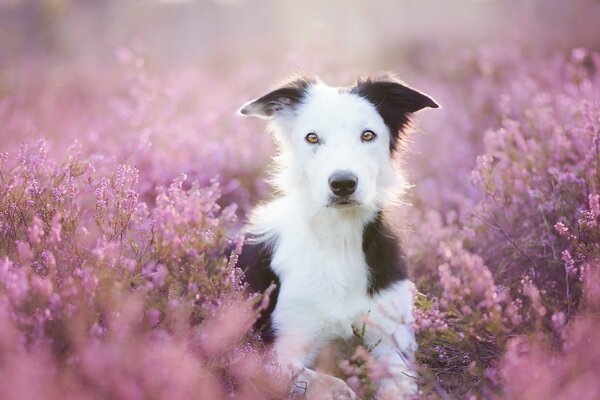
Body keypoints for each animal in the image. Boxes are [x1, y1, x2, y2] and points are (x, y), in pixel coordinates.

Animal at [237, 73, 438, 398]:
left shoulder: (394, 345)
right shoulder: (274, 353)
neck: (339, 239)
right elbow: (326, 382)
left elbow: (395, 385)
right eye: (312, 137)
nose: (343, 184)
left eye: (368, 135)